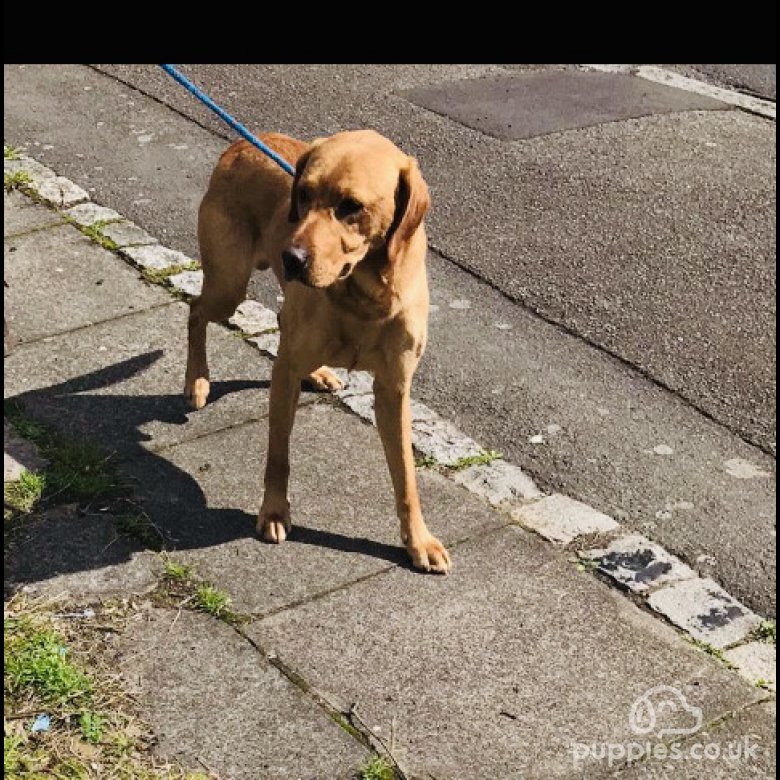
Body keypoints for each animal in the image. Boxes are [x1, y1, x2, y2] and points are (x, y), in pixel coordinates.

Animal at [185, 129, 450, 573]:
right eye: (304, 195)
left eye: (351, 206)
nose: (291, 258)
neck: (363, 296)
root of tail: (243, 143)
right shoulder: (285, 374)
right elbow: (278, 454)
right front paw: (274, 512)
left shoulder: (394, 389)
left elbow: (406, 477)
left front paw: (418, 540)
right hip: (229, 283)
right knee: (196, 310)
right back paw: (197, 381)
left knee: (277, 318)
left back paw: (319, 372)